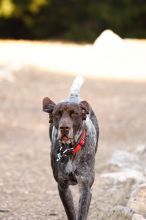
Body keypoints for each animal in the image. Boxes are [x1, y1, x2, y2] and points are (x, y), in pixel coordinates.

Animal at [42, 76, 98, 219]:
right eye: (57, 114)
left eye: (74, 114)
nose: (64, 128)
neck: (70, 150)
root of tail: (73, 96)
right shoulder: (62, 186)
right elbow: (71, 212)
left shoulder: (85, 187)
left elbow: (81, 213)